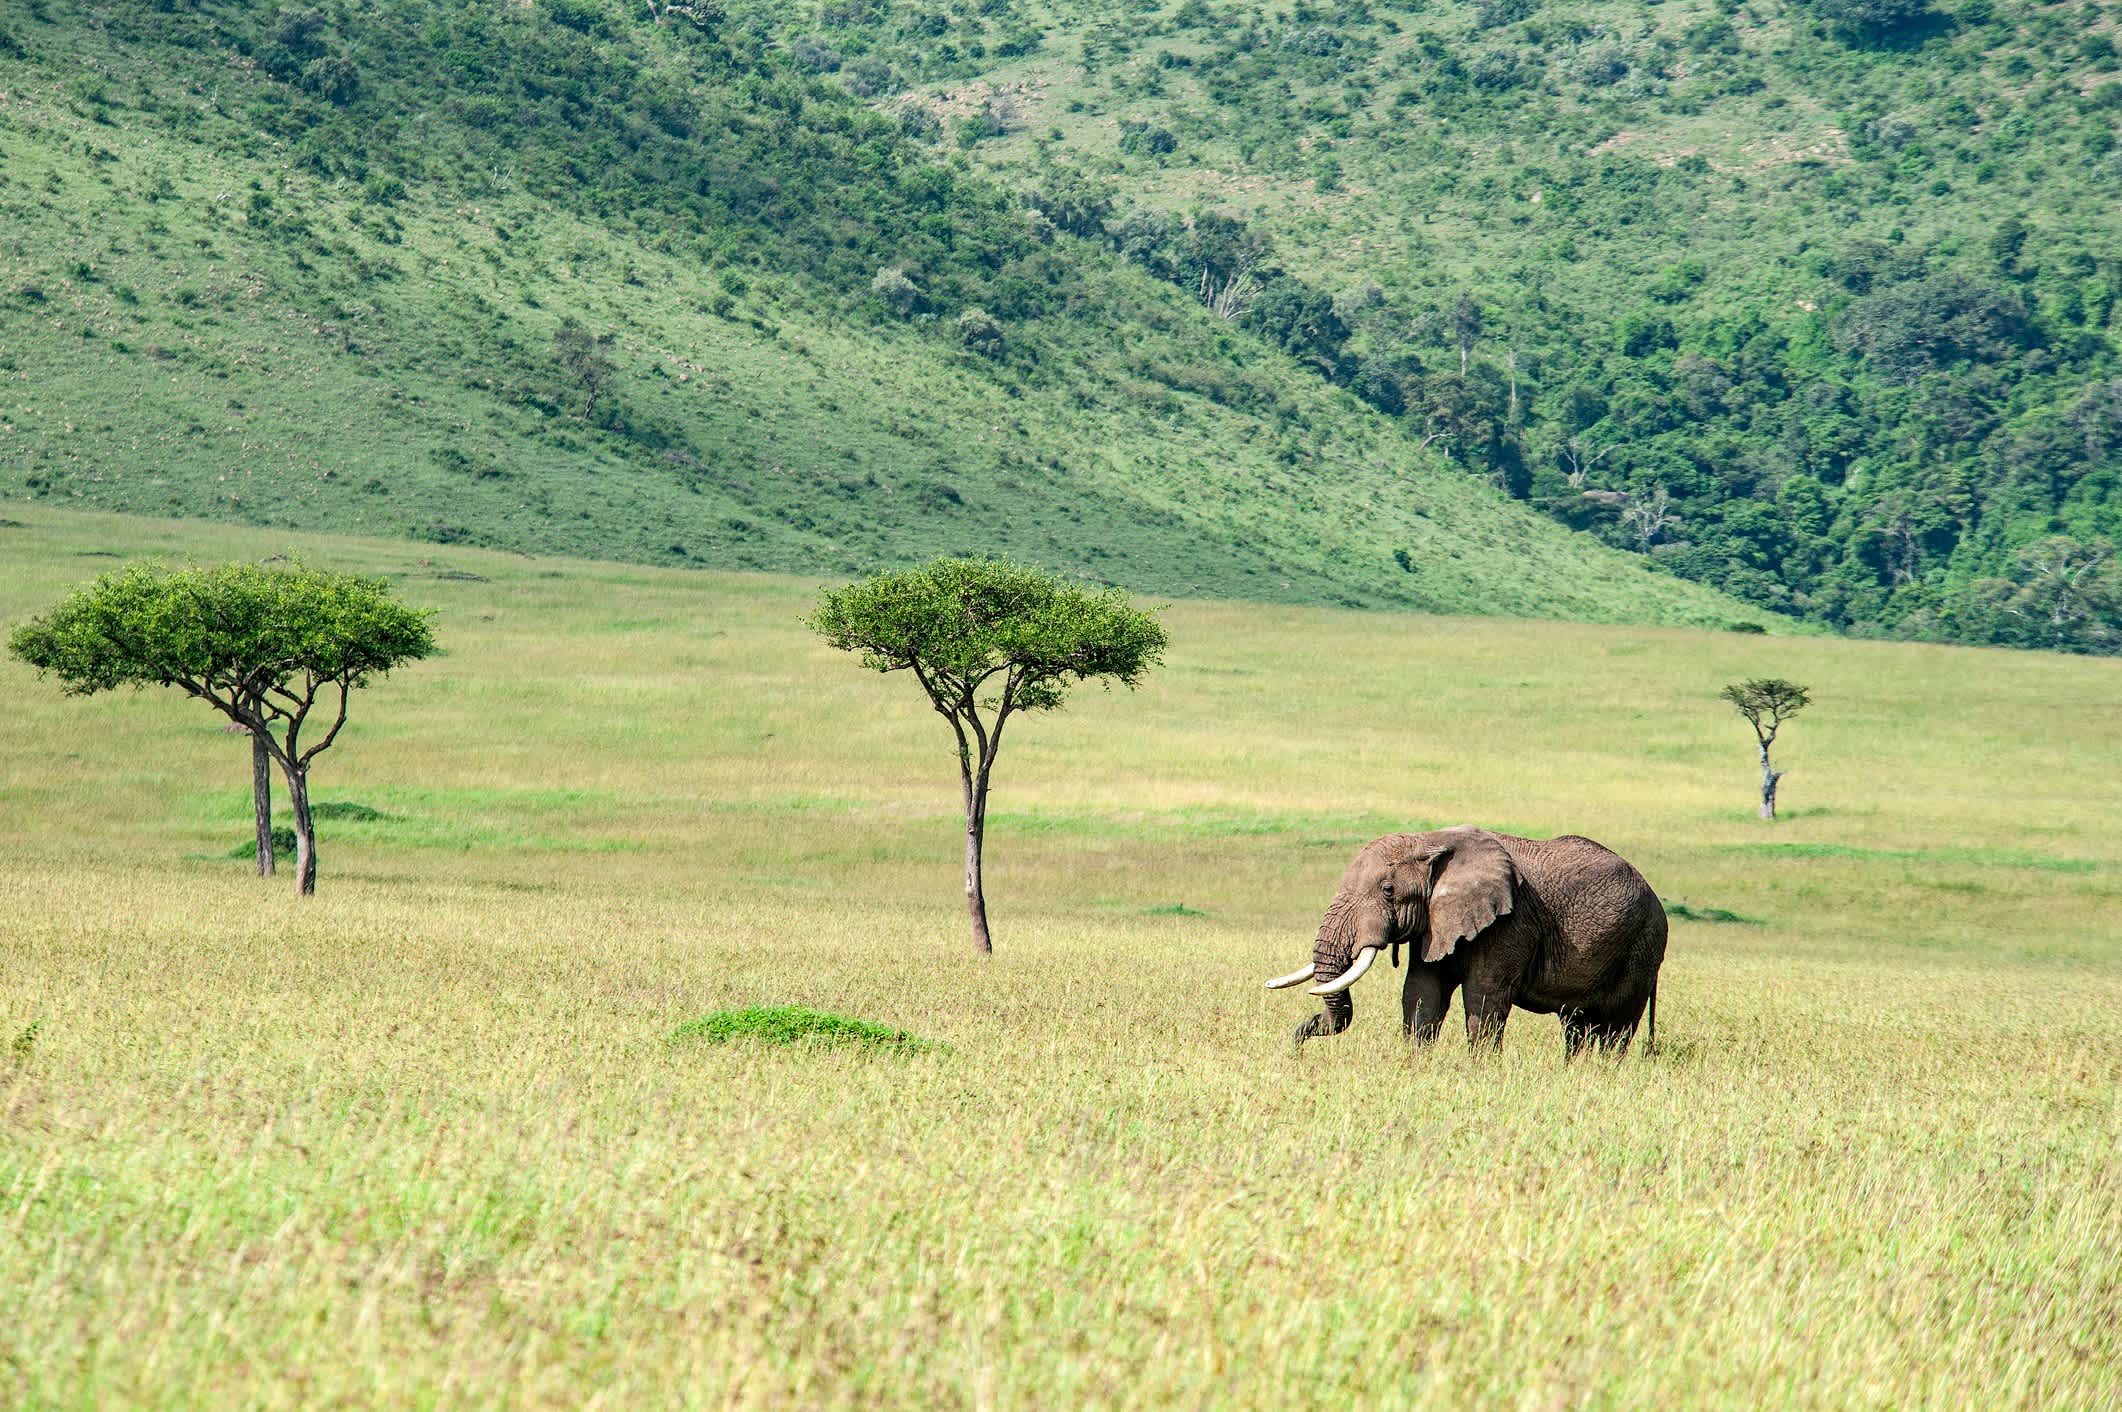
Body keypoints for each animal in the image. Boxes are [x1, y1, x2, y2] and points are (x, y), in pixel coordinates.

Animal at [1264, 828, 1663, 1057]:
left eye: (1388, 891)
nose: (1298, 1040)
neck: (1430, 841)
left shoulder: (1510, 921)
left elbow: (1484, 996)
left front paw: (1480, 1072)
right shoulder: (1434, 922)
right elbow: (1422, 991)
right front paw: (1415, 1064)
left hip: (1642, 946)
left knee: (1617, 1026)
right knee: (1576, 1026)